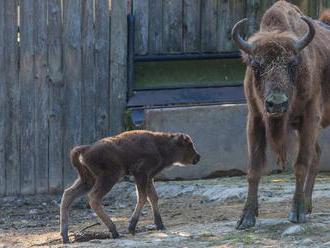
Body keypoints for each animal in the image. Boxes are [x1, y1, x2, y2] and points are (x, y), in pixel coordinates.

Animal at [60, 131, 201, 243]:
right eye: (189, 145)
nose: (198, 157)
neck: (160, 145)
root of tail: (87, 149)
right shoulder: (141, 174)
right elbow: (143, 197)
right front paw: (131, 227)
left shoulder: (149, 177)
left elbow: (153, 197)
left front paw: (160, 225)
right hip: (108, 178)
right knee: (93, 198)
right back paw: (114, 231)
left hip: (88, 180)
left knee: (68, 194)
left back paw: (65, 237)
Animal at [232, 0, 330, 230]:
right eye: (256, 65)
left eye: (293, 64)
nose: (276, 103)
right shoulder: (256, 118)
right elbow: (254, 169)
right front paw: (246, 218)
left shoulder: (310, 119)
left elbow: (300, 165)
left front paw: (297, 213)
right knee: (317, 154)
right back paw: (309, 204)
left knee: (313, 157)